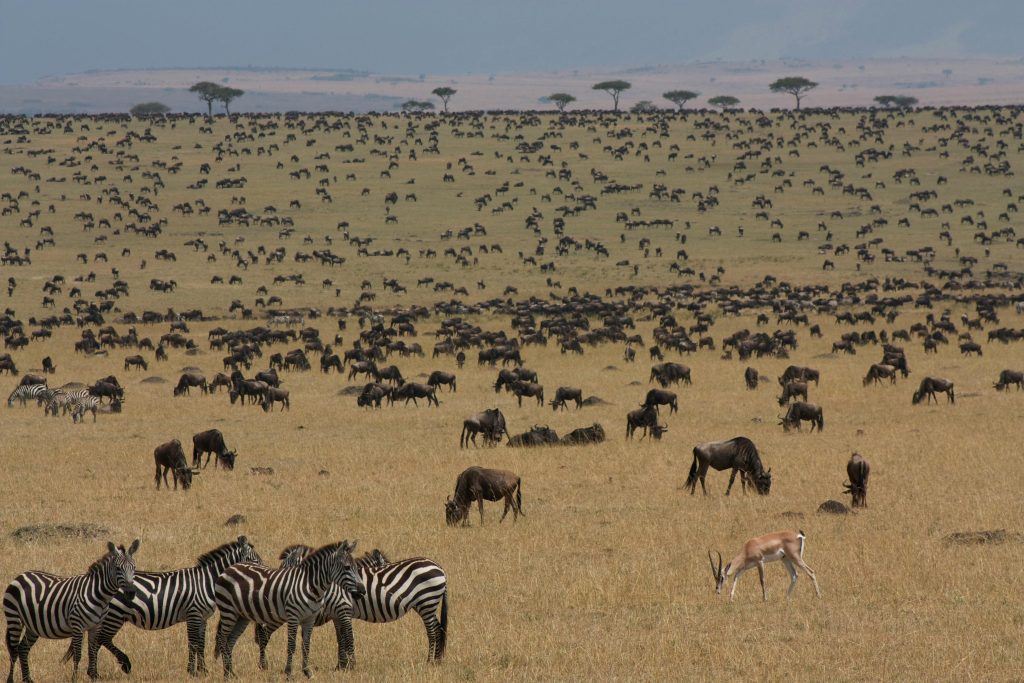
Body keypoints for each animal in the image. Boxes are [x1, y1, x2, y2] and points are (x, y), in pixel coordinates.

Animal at [4, 540, 140, 683]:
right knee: (14, 651)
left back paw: (27, 679)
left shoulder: (95, 627)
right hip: (14, 619)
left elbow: (92, 652)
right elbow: (78, 655)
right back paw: (11, 680)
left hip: (32, 626)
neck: (98, 595)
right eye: (118, 568)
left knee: (23, 649)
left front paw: (93, 676)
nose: (131, 592)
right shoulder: (77, 625)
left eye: (134, 567)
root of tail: (21, 575)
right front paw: (74, 679)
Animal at [85, 536, 263, 678]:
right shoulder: (193, 614)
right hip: (115, 615)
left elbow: (201, 643)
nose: (263, 572)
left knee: (97, 641)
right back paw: (120, 665)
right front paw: (192, 672)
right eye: (256, 561)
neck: (207, 581)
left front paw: (203, 671)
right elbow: (193, 643)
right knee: (101, 639)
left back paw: (94, 673)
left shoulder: (203, 618)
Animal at [213, 540, 364, 678]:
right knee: (222, 638)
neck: (310, 586)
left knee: (230, 641)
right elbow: (291, 645)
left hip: (241, 616)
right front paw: (289, 673)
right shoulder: (293, 616)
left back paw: (231, 673)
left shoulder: (309, 619)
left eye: (356, 567)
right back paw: (226, 674)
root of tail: (230, 568)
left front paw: (307, 672)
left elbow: (306, 646)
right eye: (347, 567)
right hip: (228, 610)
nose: (362, 591)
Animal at [257, 545, 449, 666]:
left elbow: (347, 637)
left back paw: (429, 661)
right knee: (439, 628)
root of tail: (439, 567)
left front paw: (349, 666)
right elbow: (340, 638)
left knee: (432, 631)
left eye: (285, 567)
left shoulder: (343, 609)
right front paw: (341, 666)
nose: (274, 588)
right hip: (426, 604)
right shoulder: (336, 613)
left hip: (426, 602)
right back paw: (437, 660)